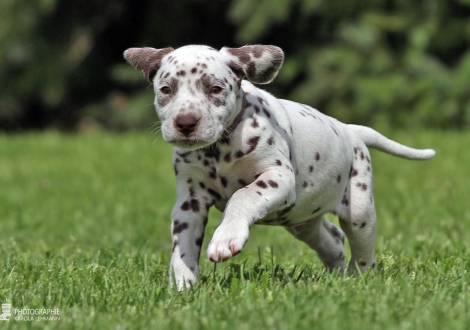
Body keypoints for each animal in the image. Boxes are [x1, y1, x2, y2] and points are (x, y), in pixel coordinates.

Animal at [123, 45, 436, 290]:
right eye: (166, 90)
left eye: (215, 89)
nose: (186, 123)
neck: (219, 151)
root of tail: (350, 130)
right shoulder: (190, 202)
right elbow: (183, 244)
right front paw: (183, 283)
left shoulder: (279, 178)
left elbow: (242, 196)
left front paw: (226, 238)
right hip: (302, 221)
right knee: (333, 239)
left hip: (359, 212)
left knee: (362, 252)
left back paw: (360, 279)